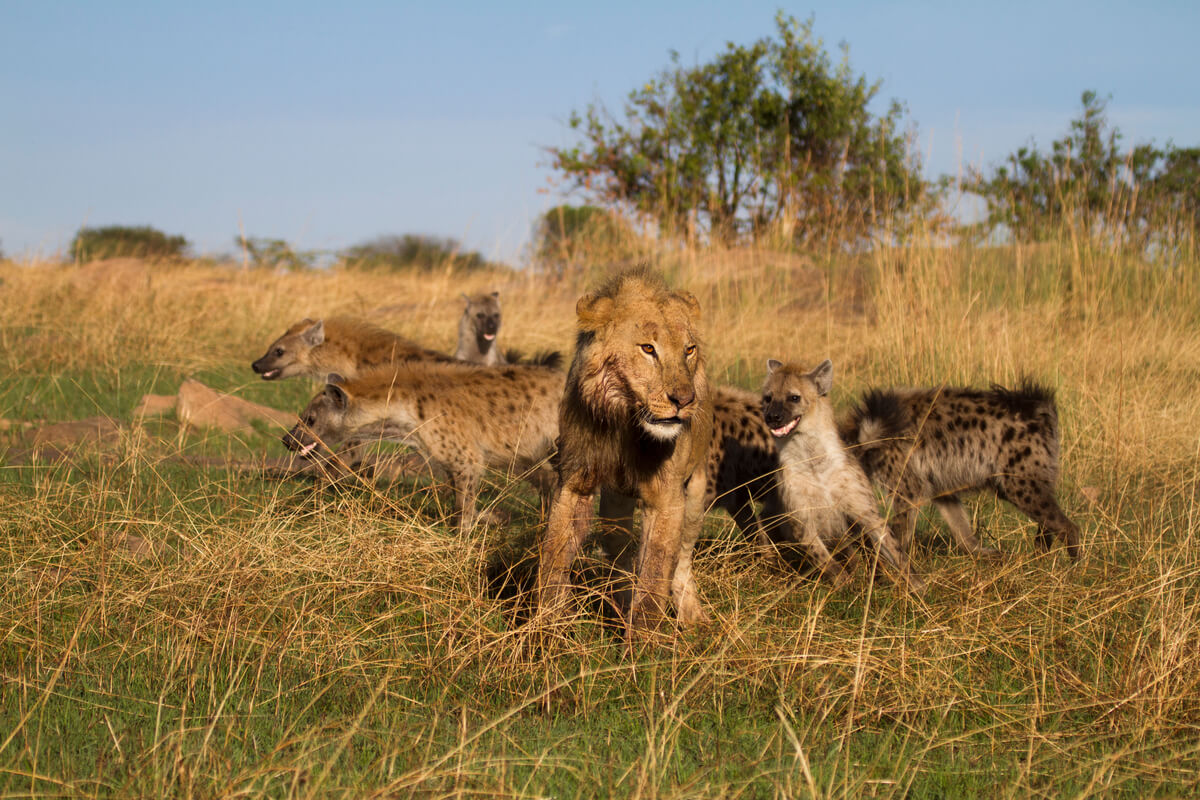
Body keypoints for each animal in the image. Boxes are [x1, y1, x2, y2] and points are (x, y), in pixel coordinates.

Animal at [536, 268, 714, 637]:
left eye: (689, 350)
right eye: (648, 348)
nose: (685, 400)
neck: (625, 421)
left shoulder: (667, 497)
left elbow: (656, 570)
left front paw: (644, 642)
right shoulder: (575, 479)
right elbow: (555, 551)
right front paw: (545, 625)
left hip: (696, 495)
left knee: (682, 559)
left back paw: (691, 615)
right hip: (615, 505)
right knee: (619, 552)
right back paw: (618, 604)